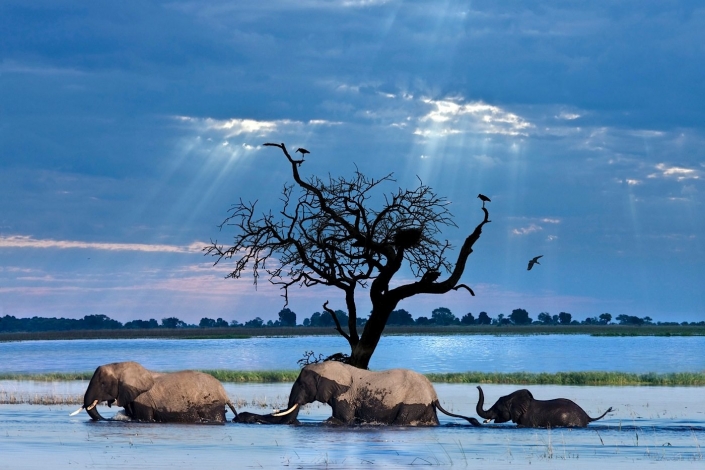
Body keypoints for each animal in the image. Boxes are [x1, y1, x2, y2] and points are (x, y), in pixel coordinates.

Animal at [248, 361, 481, 426]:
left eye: (302, 385)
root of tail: (433, 393)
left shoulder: (345, 396)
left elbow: (342, 419)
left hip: (412, 402)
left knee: (403, 420)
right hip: (424, 405)